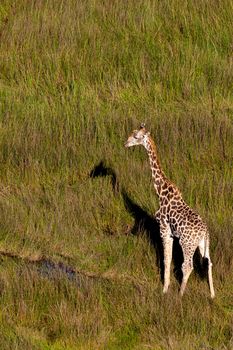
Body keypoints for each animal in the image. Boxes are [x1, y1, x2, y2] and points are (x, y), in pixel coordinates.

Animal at [125, 123, 215, 298]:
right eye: (132, 133)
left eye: (136, 136)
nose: (125, 143)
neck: (160, 191)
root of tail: (204, 232)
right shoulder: (171, 233)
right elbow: (168, 259)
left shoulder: (164, 230)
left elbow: (166, 260)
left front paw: (164, 289)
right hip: (203, 245)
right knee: (209, 262)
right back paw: (213, 295)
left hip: (187, 244)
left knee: (187, 265)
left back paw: (180, 294)